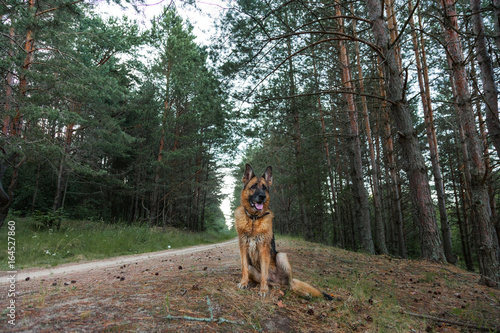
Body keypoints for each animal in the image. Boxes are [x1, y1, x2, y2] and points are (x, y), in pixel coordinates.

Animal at [235, 164, 332, 298]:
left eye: (264, 188)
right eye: (253, 186)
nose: (262, 197)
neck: (254, 219)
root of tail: (277, 280)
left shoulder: (264, 249)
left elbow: (264, 272)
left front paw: (263, 290)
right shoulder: (243, 247)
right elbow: (244, 267)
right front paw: (244, 283)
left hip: (282, 256)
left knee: (291, 285)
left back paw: (303, 294)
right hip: (254, 269)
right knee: (274, 282)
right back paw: (274, 286)